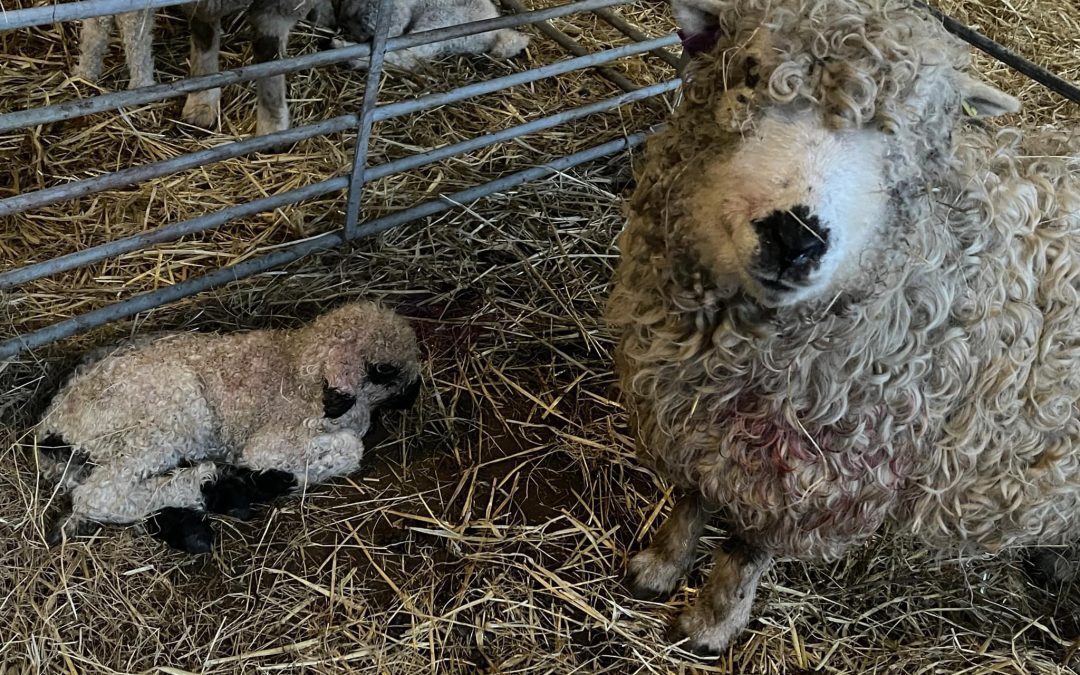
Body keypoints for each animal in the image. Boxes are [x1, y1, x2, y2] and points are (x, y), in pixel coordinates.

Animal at [36, 301, 422, 552]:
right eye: (384, 370)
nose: (415, 394)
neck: (301, 366)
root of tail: (52, 425)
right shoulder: (273, 440)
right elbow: (350, 448)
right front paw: (286, 476)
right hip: (163, 420)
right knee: (99, 493)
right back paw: (201, 483)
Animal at [606, 0, 1080, 655]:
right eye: (749, 73)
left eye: (907, 134)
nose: (796, 236)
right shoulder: (705, 423)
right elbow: (691, 500)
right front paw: (659, 566)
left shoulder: (820, 473)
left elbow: (745, 552)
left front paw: (711, 624)